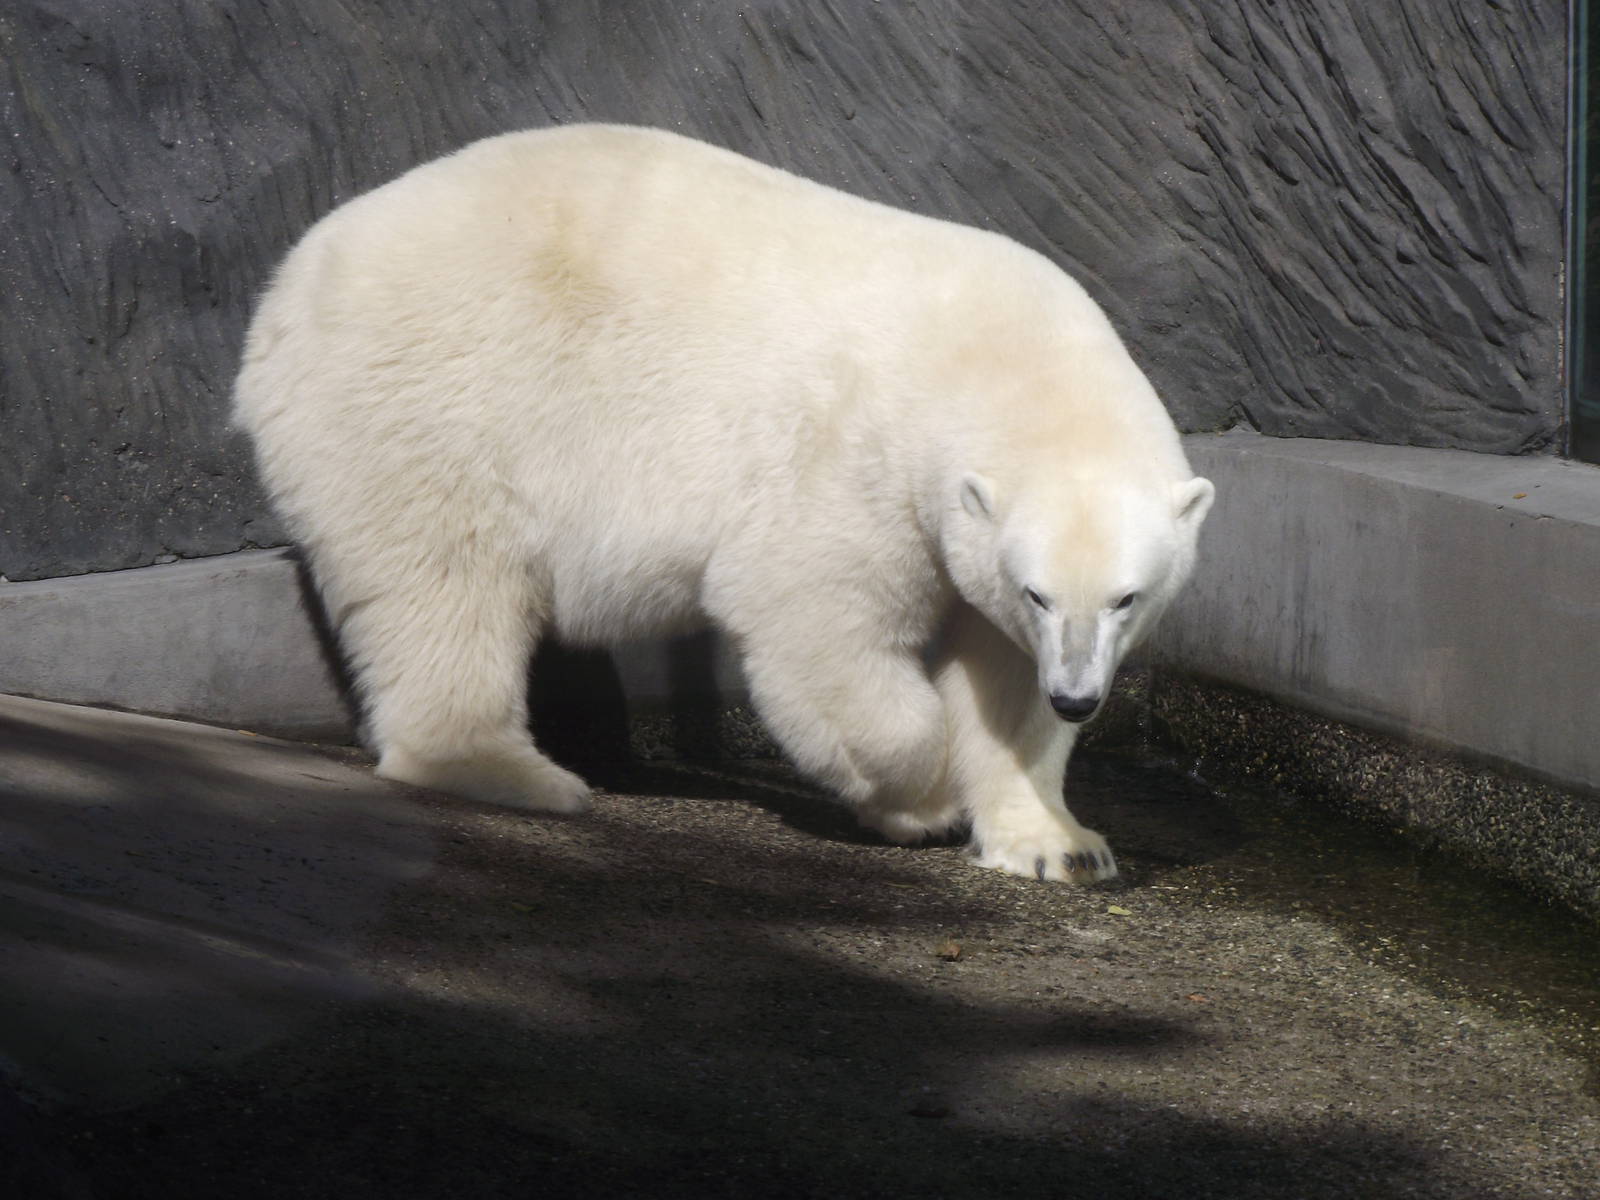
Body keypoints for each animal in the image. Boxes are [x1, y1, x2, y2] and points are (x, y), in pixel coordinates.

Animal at [234, 124, 1213, 884]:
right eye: (1039, 591)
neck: (1002, 354)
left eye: (1126, 598)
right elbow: (817, 614)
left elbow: (1003, 679)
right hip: (431, 391)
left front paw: (1062, 844)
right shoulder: (859, 456)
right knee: (444, 577)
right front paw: (921, 800)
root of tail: (286, 290)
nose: (1080, 698)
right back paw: (513, 770)